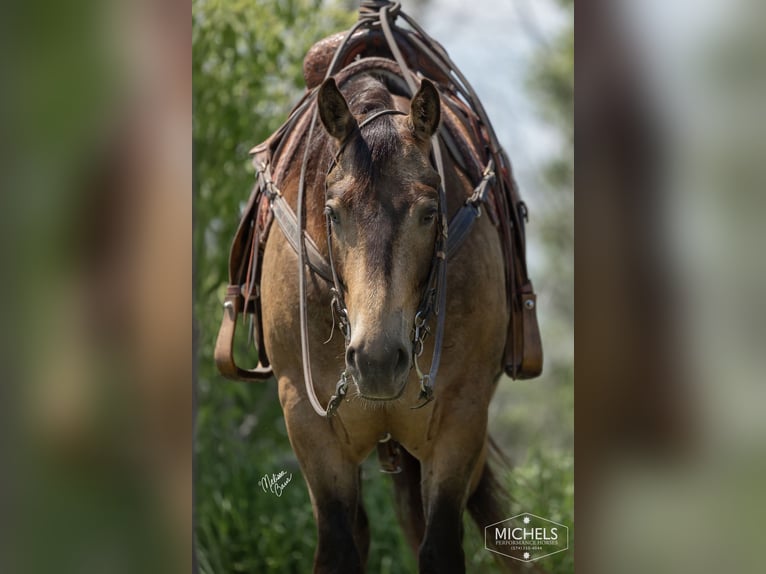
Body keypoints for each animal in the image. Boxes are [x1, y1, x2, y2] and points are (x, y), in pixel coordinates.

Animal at [213, 2, 544, 572]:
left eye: (430, 212)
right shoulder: (308, 423)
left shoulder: (461, 424)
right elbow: (339, 546)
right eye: (332, 213)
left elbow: (438, 545)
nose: (376, 360)